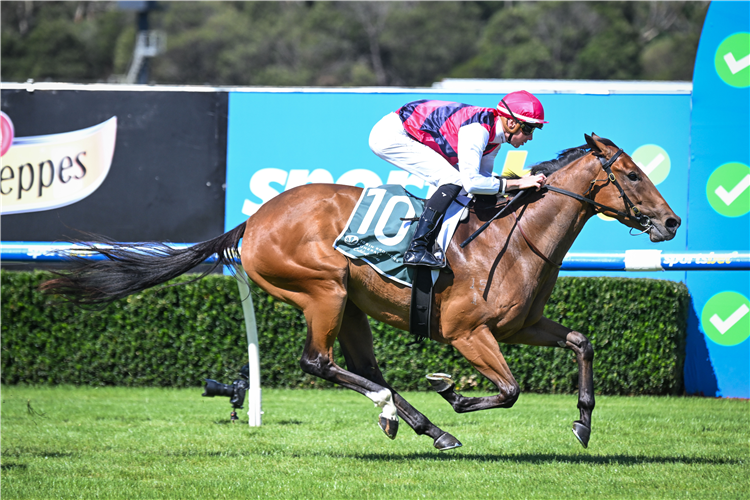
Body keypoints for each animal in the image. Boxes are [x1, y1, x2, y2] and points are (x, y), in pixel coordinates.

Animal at [44, 134, 684, 454]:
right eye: (631, 174)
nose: (671, 222)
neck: (511, 237)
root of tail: (252, 221)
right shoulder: (468, 332)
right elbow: (509, 390)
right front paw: (453, 391)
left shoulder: (520, 326)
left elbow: (582, 342)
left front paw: (583, 423)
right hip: (321, 288)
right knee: (318, 361)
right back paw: (417, 416)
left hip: (350, 304)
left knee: (360, 366)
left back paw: (417, 423)